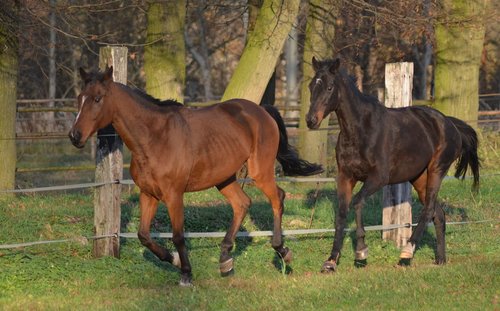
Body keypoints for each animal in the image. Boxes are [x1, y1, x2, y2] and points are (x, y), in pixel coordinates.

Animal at [69, 67, 320, 286]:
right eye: (80, 98)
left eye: (98, 98)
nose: (75, 136)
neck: (155, 138)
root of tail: (262, 111)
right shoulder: (148, 194)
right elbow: (144, 235)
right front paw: (174, 260)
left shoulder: (174, 195)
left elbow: (178, 236)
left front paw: (186, 274)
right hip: (224, 178)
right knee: (242, 204)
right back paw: (225, 260)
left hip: (260, 172)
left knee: (277, 198)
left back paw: (282, 251)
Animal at [304, 58, 480, 272]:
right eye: (311, 86)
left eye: (329, 87)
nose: (311, 120)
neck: (361, 131)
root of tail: (449, 123)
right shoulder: (345, 177)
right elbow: (341, 214)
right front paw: (331, 261)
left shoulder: (378, 178)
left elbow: (357, 202)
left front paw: (361, 251)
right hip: (419, 178)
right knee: (439, 214)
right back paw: (440, 259)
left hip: (437, 170)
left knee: (429, 210)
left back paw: (407, 251)